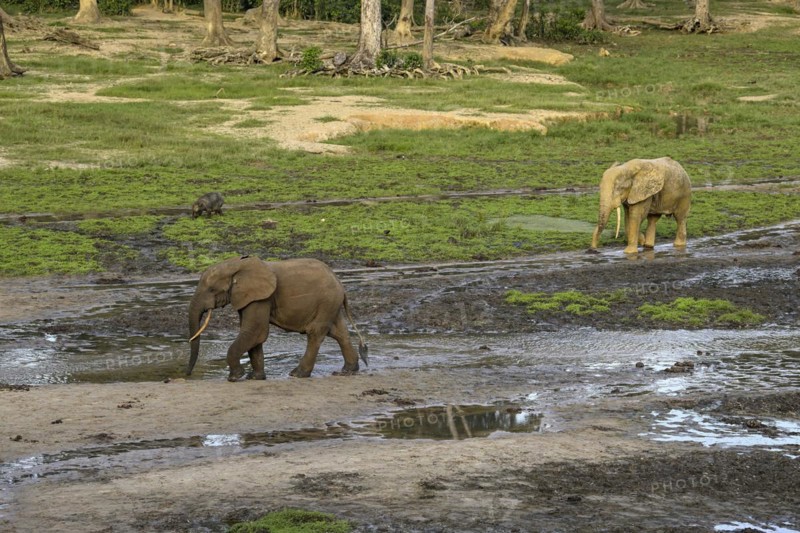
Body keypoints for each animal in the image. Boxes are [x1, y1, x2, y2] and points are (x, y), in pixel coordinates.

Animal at [187, 255, 368, 381]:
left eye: (211, 289)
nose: (187, 375)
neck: (236, 265)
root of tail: (340, 284)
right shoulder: (248, 298)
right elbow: (254, 335)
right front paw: (255, 378)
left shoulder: (261, 298)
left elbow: (255, 331)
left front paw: (235, 377)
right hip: (331, 304)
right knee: (338, 333)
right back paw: (348, 370)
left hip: (327, 301)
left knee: (316, 333)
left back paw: (297, 374)